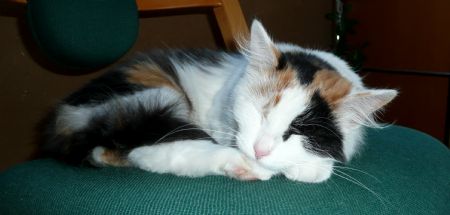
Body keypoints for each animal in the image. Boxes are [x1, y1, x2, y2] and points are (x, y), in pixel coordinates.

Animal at [39, 20, 398, 182]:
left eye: (296, 132)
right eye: (261, 112)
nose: (260, 151)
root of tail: (62, 116)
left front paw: (301, 165)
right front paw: (265, 164)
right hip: (158, 95)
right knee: (143, 152)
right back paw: (241, 166)